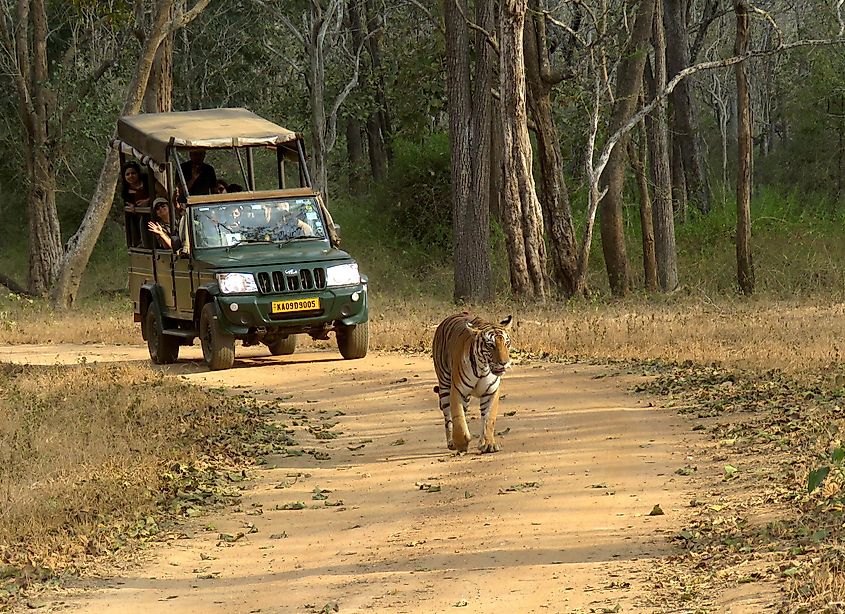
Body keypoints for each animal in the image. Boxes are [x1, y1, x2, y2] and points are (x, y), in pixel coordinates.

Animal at [432, 316, 512, 454]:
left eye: (507, 343)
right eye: (490, 345)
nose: (504, 363)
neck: (483, 368)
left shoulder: (491, 392)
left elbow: (489, 419)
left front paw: (488, 444)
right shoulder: (457, 390)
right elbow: (458, 417)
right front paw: (461, 443)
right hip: (445, 384)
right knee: (448, 417)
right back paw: (451, 442)